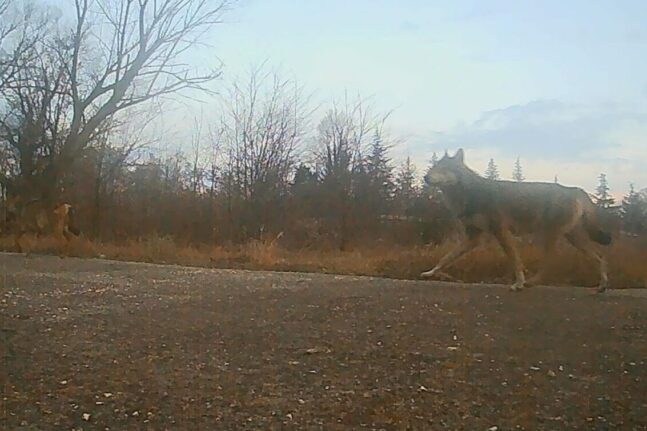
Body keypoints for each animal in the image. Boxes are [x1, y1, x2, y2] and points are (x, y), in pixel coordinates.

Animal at [420, 149, 612, 294]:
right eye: (434, 167)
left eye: (444, 168)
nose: (425, 178)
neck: (469, 195)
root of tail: (575, 189)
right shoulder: (473, 238)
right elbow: (445, 258)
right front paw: (430, 273)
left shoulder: (501, 232)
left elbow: (515, 261)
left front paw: (518, 283)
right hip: (572, 238)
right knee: (600, 257)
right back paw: (601, 286)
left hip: (548, 236)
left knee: (552, 262)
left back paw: (530, 283)